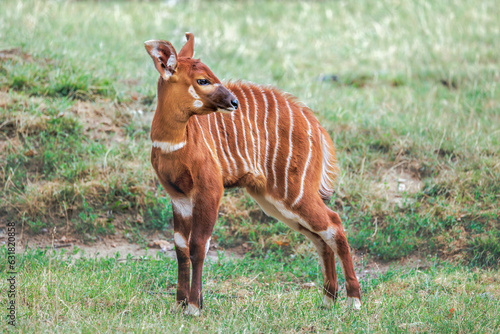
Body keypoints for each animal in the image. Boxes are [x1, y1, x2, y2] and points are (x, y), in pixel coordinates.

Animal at [144, 33, 360, 316]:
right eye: (202, 80)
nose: (233, 102)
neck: (174, 144)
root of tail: (316, 126)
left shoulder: (210, 190)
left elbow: (198, 245)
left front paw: (193, 307)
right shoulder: (178, 197)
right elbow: (180, 246)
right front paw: (180, 303)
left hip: (294, 193)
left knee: (334, 223)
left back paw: (353, 301)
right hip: (273, 201)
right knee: (320, 235)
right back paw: (327, 300)